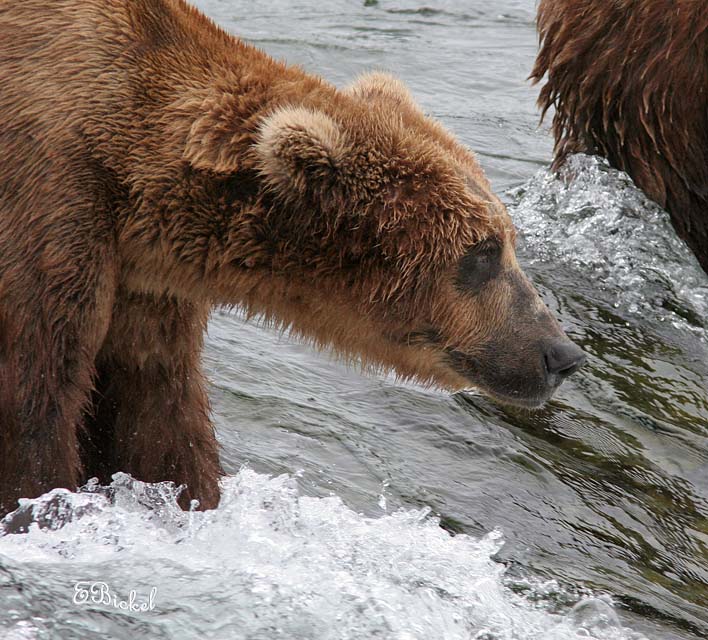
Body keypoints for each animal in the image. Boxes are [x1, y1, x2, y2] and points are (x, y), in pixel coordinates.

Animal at [0, 0, 588, 516]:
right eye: (482, 252)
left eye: (508, 240)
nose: (561, 354)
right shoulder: (51, 204)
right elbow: (34, 399)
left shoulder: (145, 288)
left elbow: (157, 416)